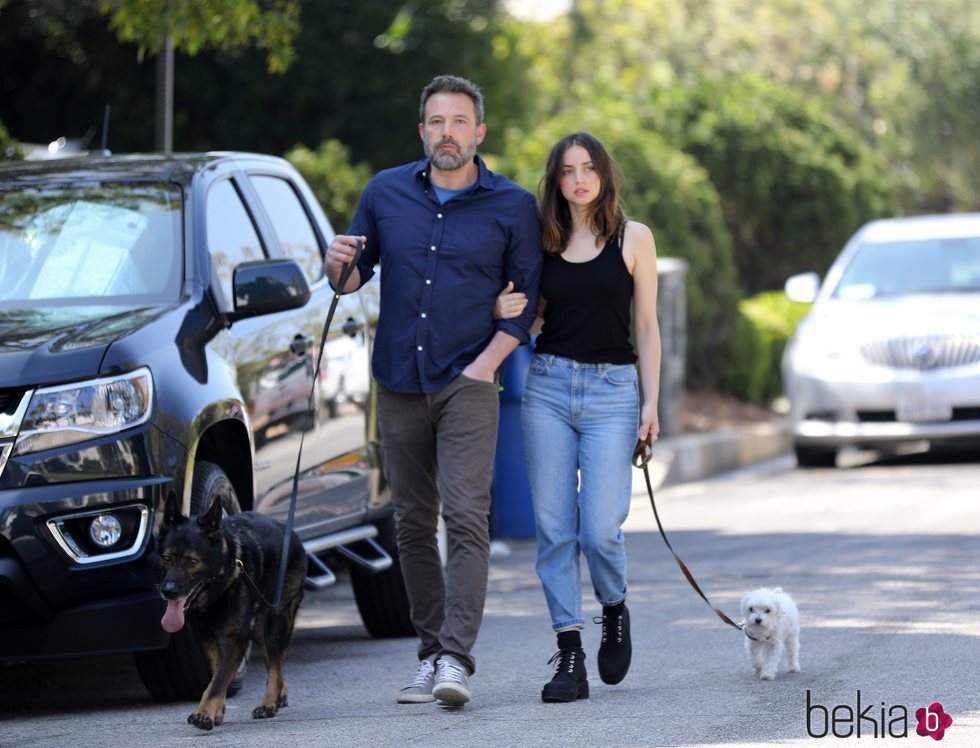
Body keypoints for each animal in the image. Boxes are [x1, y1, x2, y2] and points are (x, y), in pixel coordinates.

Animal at [157, 494, 306, 732]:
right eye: (166, 558)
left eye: (192, 561)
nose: (168, 591)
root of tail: (292, 533)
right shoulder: (208, 639)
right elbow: (217, 675)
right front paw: (216, 711)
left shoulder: (233, 641)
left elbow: (218, 680)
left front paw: (204, 713)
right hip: (259, 630)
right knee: (273, 660)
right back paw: (279, 694)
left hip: (275, 623)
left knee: (275, 661)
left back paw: (269, 702)